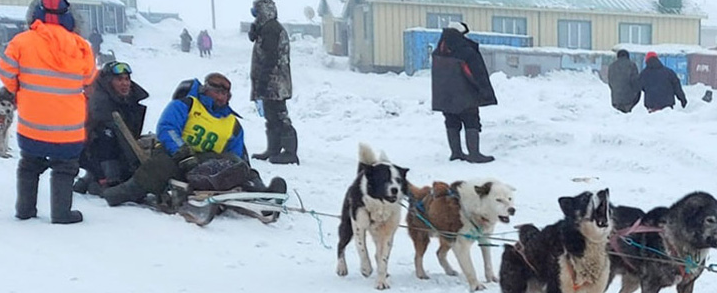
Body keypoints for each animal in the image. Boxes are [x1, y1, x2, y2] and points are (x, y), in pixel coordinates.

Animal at [336, 143, 408, 288]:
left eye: (398, 180)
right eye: (384, 179)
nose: (395, 189)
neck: (380, 205)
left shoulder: (388, 232)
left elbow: (383, 258)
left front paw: (381, 281)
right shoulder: (358, 225)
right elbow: (362, 249)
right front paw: (366, 268)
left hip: (377, 233)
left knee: (377, 254)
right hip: (347, 226)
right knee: (340, 245)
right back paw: (341, 267)